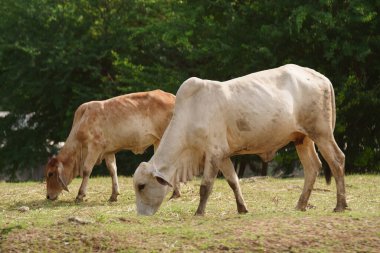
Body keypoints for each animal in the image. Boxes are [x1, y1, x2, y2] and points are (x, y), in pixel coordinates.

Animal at [45, 90, 175, 203]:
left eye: (50, 174)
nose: (48, 196)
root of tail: (172, 96)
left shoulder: (95, 147)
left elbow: (87, 170)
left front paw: (80, 195)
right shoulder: (108, 151)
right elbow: (112, 170)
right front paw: (114, 195)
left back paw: (174, 194)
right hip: (158, 141)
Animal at [133, 64, 348, 214]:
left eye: (142, 186)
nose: (141, 214)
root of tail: (321, 78)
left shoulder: (213, 153)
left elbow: (205, 186)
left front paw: (199, 212)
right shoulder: (223, 155)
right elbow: (233, 181)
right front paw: (242, 208)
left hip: (321, 133)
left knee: (337, 160)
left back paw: (340, 205)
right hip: (302, 138)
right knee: (312, 167)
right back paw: (301, 205)